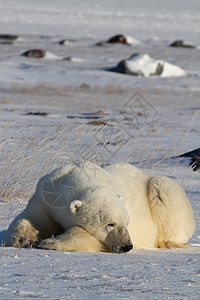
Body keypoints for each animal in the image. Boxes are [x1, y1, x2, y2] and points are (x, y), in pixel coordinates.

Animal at [1, 163, 195, 252]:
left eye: (126, 223)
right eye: (110, 224)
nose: (126, 246)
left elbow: (89, 237)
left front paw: (51, 242)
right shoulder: (45, 195)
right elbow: (30, 217)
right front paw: (25, 239)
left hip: (163, 189)